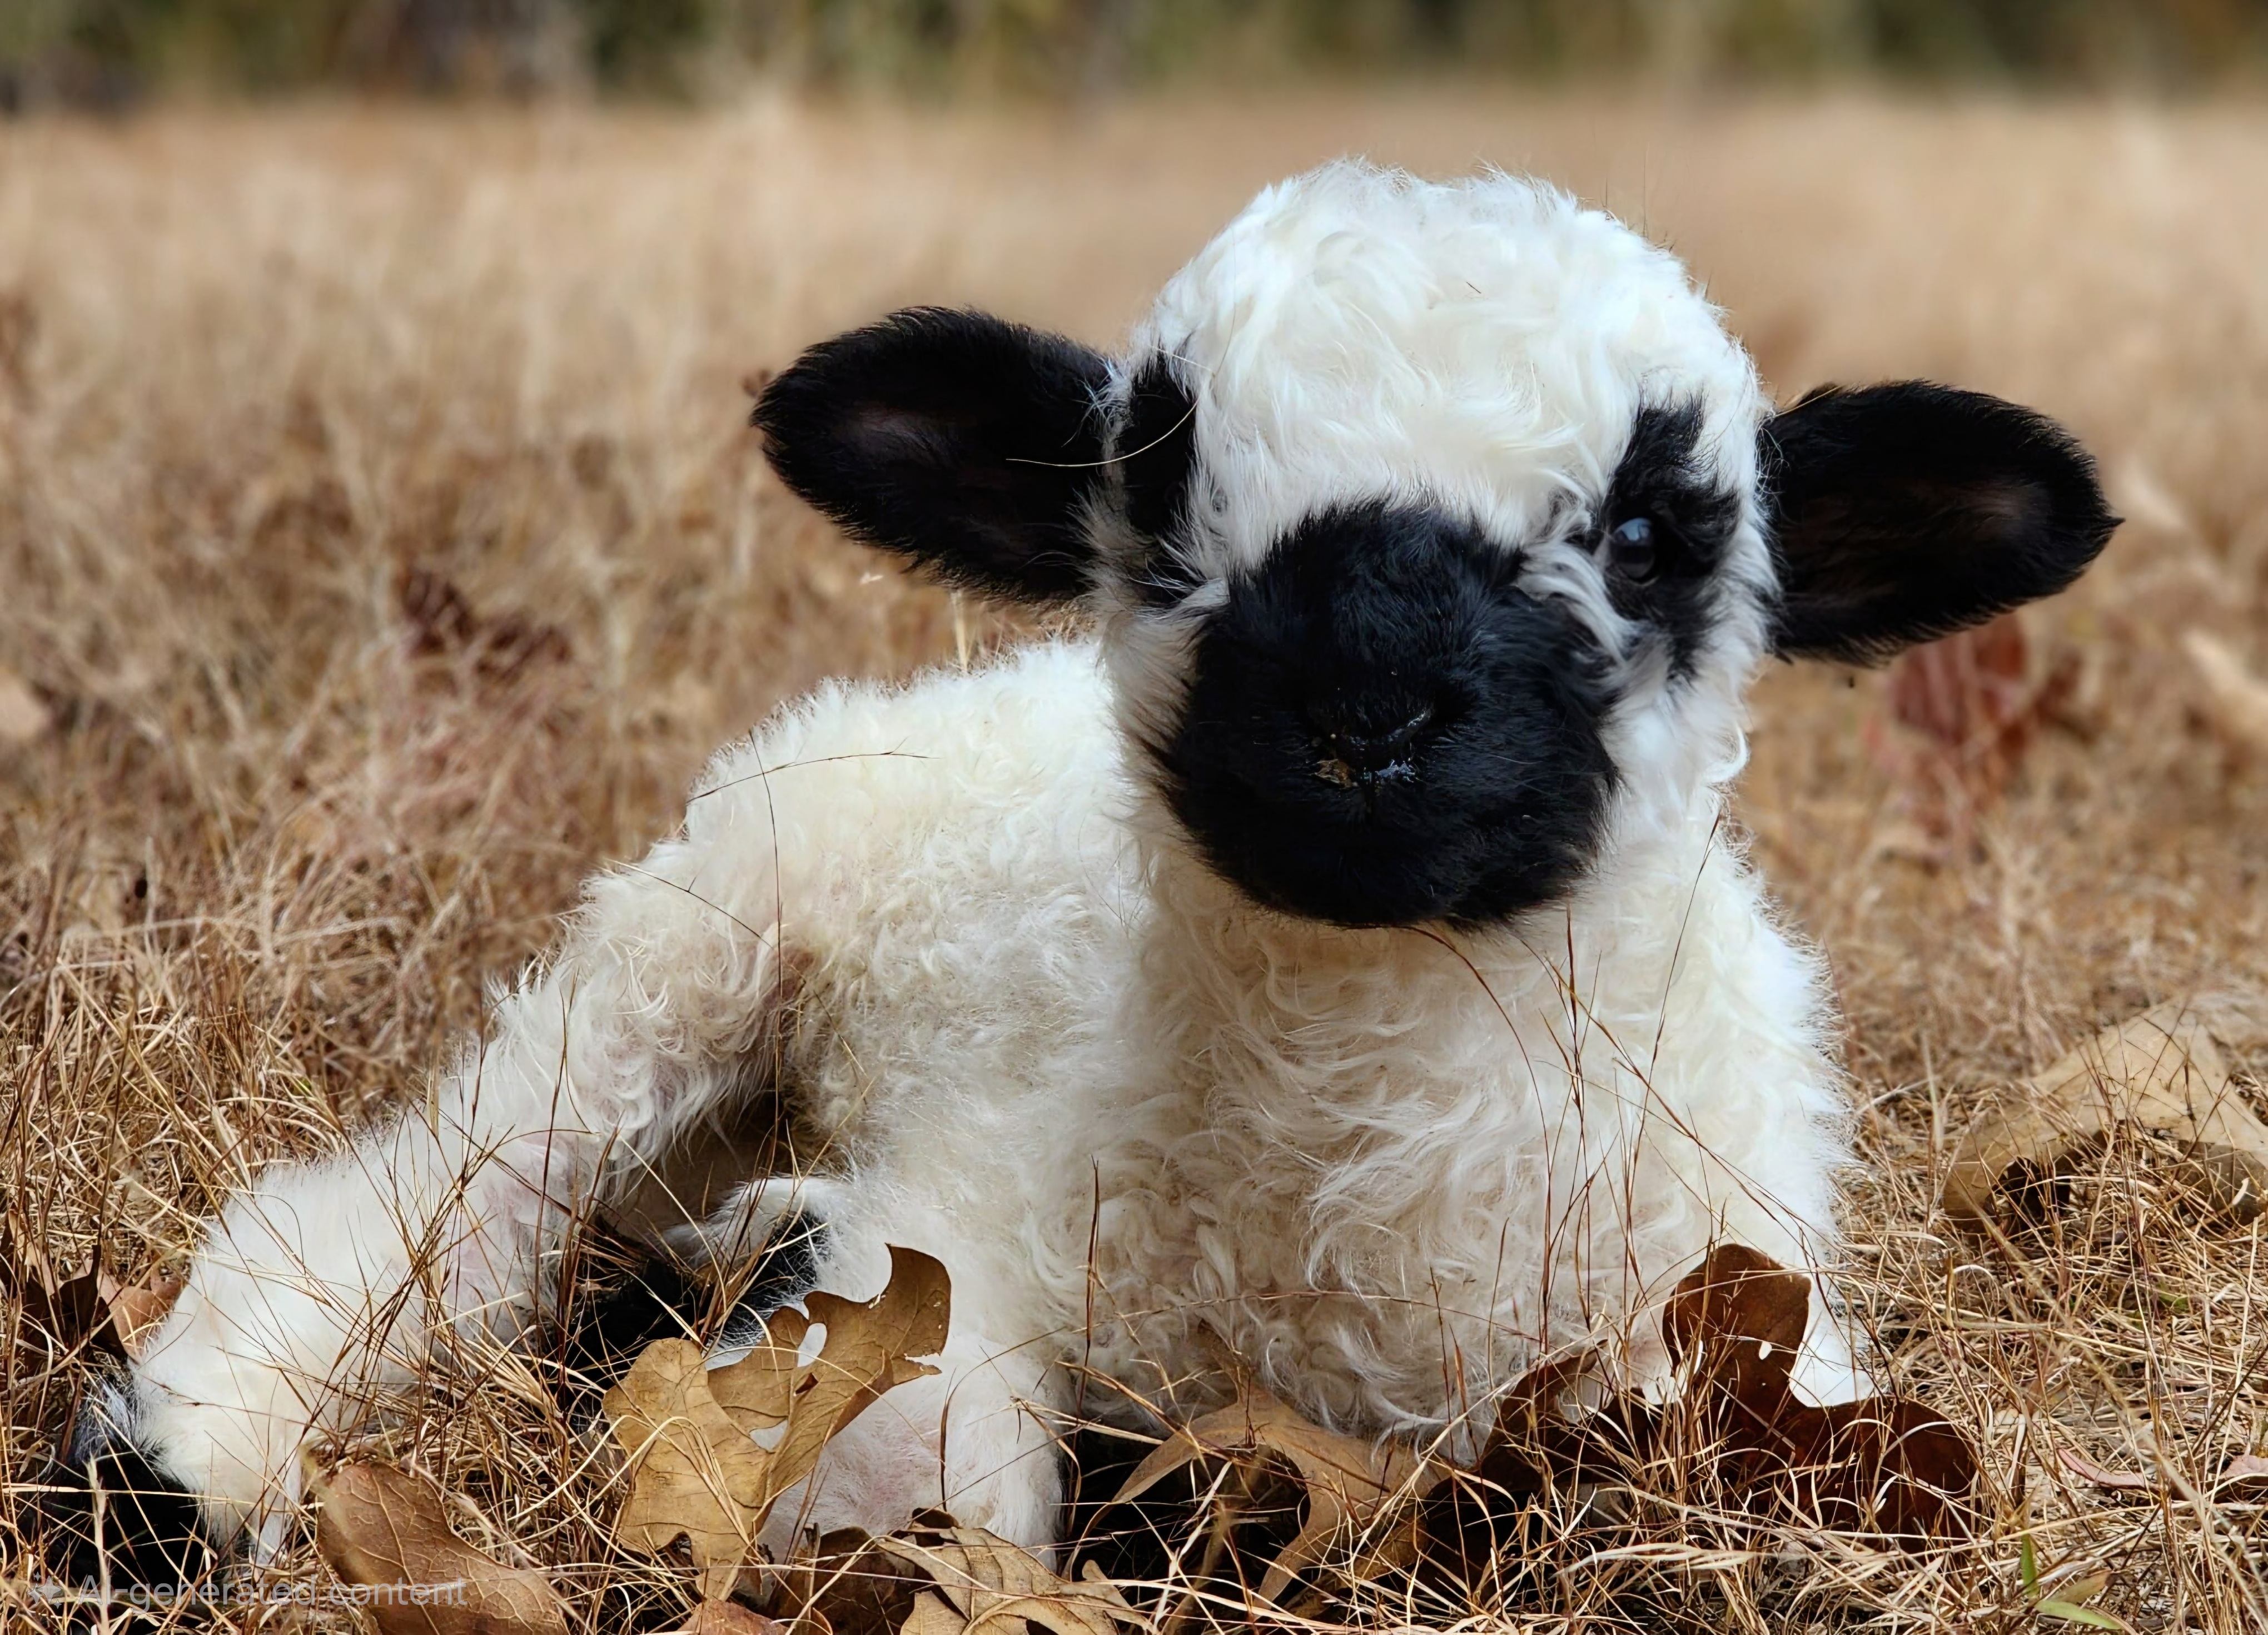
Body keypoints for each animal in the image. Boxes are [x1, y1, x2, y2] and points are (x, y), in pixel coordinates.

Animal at [61, 161, 2114, 1572]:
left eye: (1648, 533)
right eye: (1161, 487)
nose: (1359, 711)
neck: (1346, 1189)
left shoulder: (1739, 1312)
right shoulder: (977, 1220)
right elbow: (926, 1470)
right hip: (697, 937)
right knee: (452, 1183)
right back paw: (190, 1448)